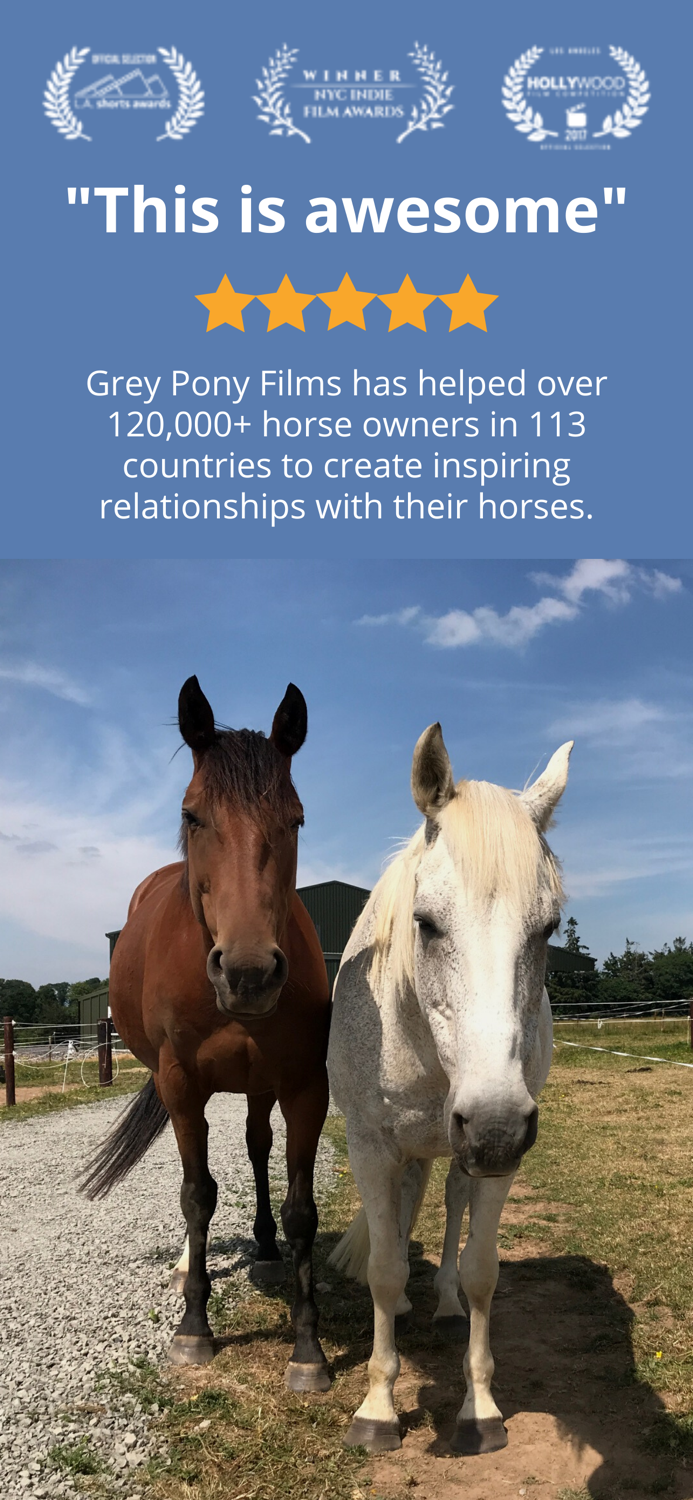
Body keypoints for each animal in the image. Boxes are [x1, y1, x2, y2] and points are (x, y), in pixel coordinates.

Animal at [82, 676, 332, 1393]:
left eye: (296, 819)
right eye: (193, 816)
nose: (248, 973)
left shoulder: (305, 1086)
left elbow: (302, 1206)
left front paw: (307, 1346)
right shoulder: (180, 1083)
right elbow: (196, 1197)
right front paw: (193, 1327)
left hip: (259, 1084)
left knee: (255, 1146)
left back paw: (267, 1248)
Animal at [328, 722, 572, 1454]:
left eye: (548, 927)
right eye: (426, 922)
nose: (493, 1125)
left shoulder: (497, 1161)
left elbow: (481, 1269)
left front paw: (480, 1410)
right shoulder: (371, 1147)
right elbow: (382, 1266)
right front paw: (377, 1411)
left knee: (451, 1210)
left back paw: (438, 1302)